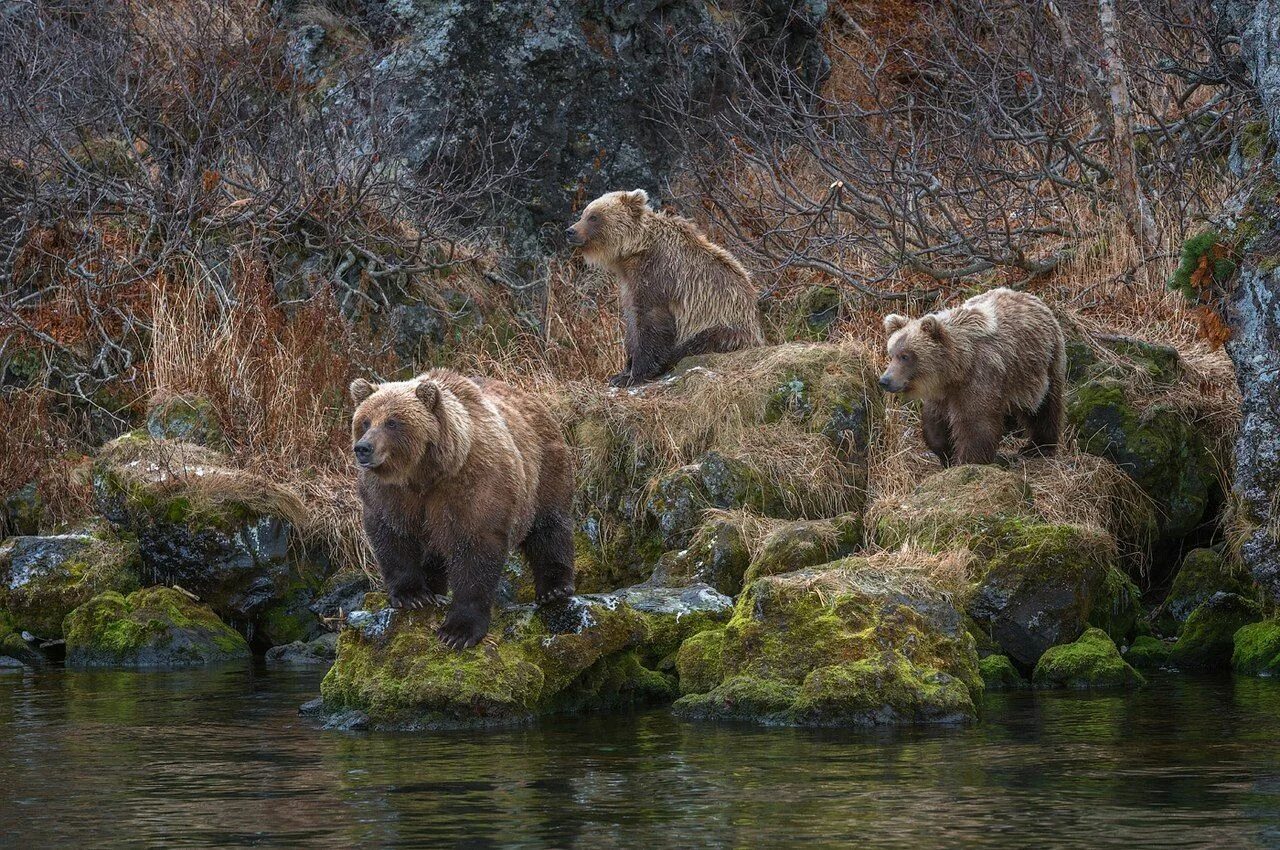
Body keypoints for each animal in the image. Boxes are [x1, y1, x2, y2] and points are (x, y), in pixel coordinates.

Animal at [348, 368, 573, 647]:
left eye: (392, 422)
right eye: (365, 421)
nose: (363, 448)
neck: (424, 474)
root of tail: (530, 397)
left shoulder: (472, 485)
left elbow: (474, 548)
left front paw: (458, 631)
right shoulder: (391, 494)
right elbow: (391, 536)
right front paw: (413, 595)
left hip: (544, 467)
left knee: (549, 524)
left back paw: (555, 588)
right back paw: (434, 589)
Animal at [568, 188, 757, 384]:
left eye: (594, 216)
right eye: (584, 214)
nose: (570, 231)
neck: (634, 252)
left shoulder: (659, 276)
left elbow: (651, 321)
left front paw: (635, 374)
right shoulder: (630, 283)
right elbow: (633, 322)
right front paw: (622, 372)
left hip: (723, 323)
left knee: (702, 341)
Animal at [880, 290, 1070, 465]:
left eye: (906, 356)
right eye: (892, 353)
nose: (885, 380)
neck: (958, 367)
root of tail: (1031, 297)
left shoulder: (980, 376)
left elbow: (975, 423)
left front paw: (967, 460)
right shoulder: (942, 391)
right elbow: (935, 420)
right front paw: (946, 452)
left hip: (1043, 363)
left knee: (1045, 405)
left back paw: (1038, 446)